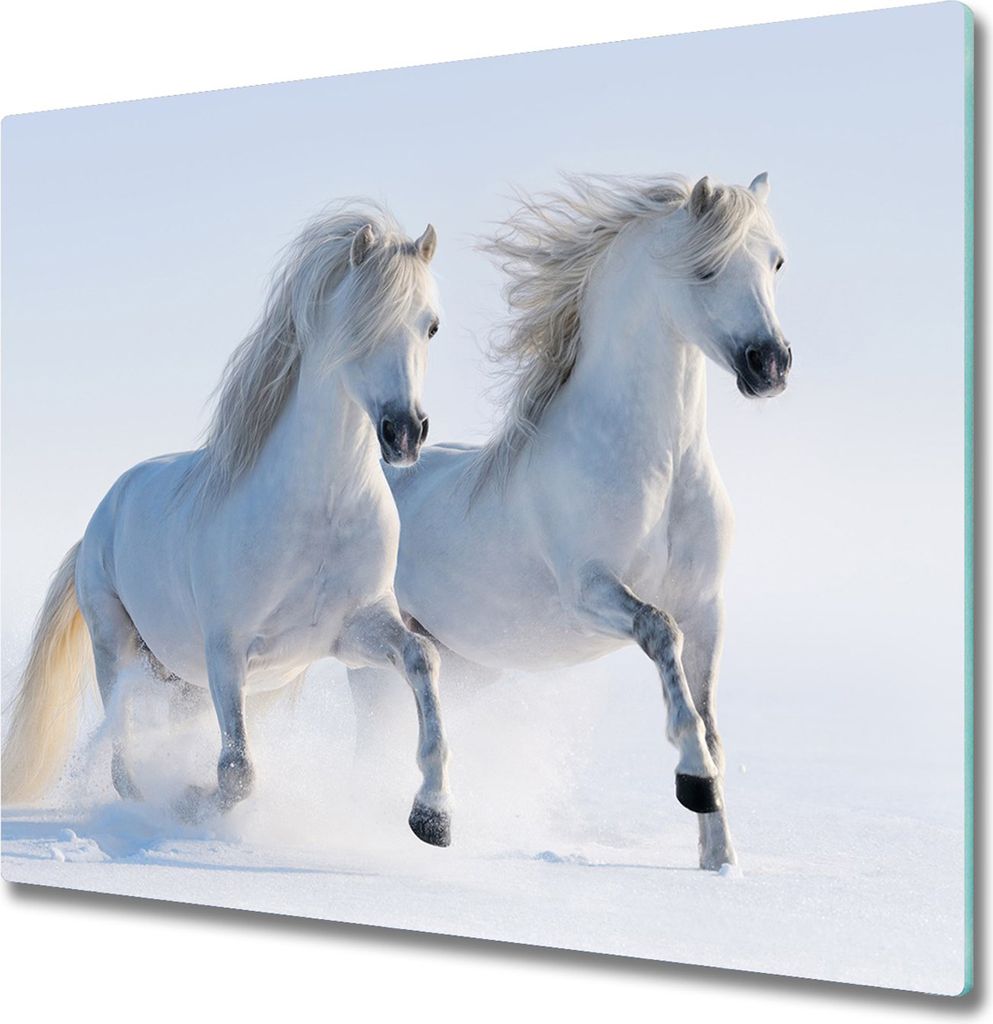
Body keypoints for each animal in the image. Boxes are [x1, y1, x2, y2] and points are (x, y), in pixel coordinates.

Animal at [2, 204, 454, 847]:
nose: (405, 433)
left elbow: (422, 659)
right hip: (116, 645)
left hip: (180, 680)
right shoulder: (226, 650)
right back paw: (146, 805)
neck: (319, 512)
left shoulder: (352, 632)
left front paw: (432, 816)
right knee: (121, 750)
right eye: (359, 322)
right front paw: (191, 801)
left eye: (431, 326)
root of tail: (101, 517)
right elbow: (237, 770)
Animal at [349, 173, 791, 870]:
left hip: (468, 666)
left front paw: (720, 861)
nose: (769, 364)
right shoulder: (590, 592)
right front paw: (693, 782)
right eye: (705, 268)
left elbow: (712, 719)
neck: (659, 466)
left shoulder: (707, 607)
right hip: (372, 663)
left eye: (776, 262)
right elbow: (661, 637)